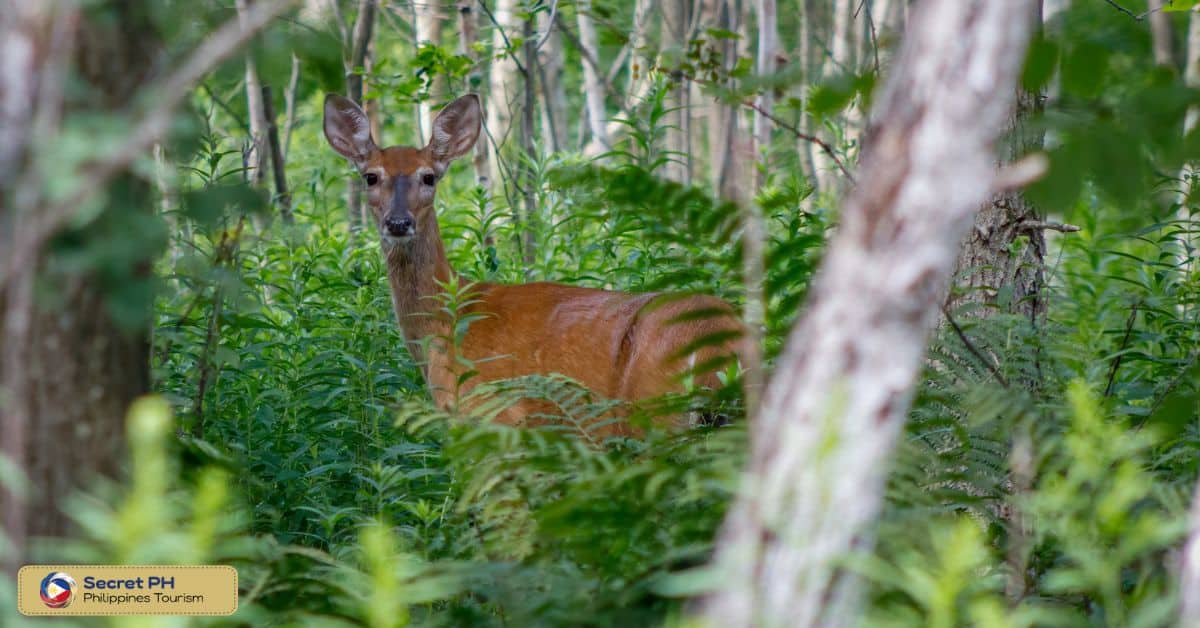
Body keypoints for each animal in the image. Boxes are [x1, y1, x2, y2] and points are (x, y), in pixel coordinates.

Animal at [323, 93, 744, 437]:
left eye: (429, 177)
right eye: (370, 176)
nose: (398, 222)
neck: (446, 322)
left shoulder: (496, 418)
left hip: (653, 414)